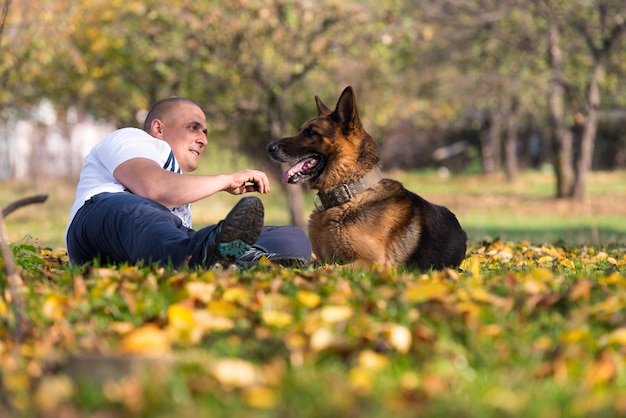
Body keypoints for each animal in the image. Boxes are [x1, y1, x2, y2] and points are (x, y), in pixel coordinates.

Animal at [266, 86, 466, 270]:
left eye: (310, 133)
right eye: (300, 130)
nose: (269, 147)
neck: (349, 193)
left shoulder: (370, 262)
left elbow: (327, 268)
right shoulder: (320, 257)